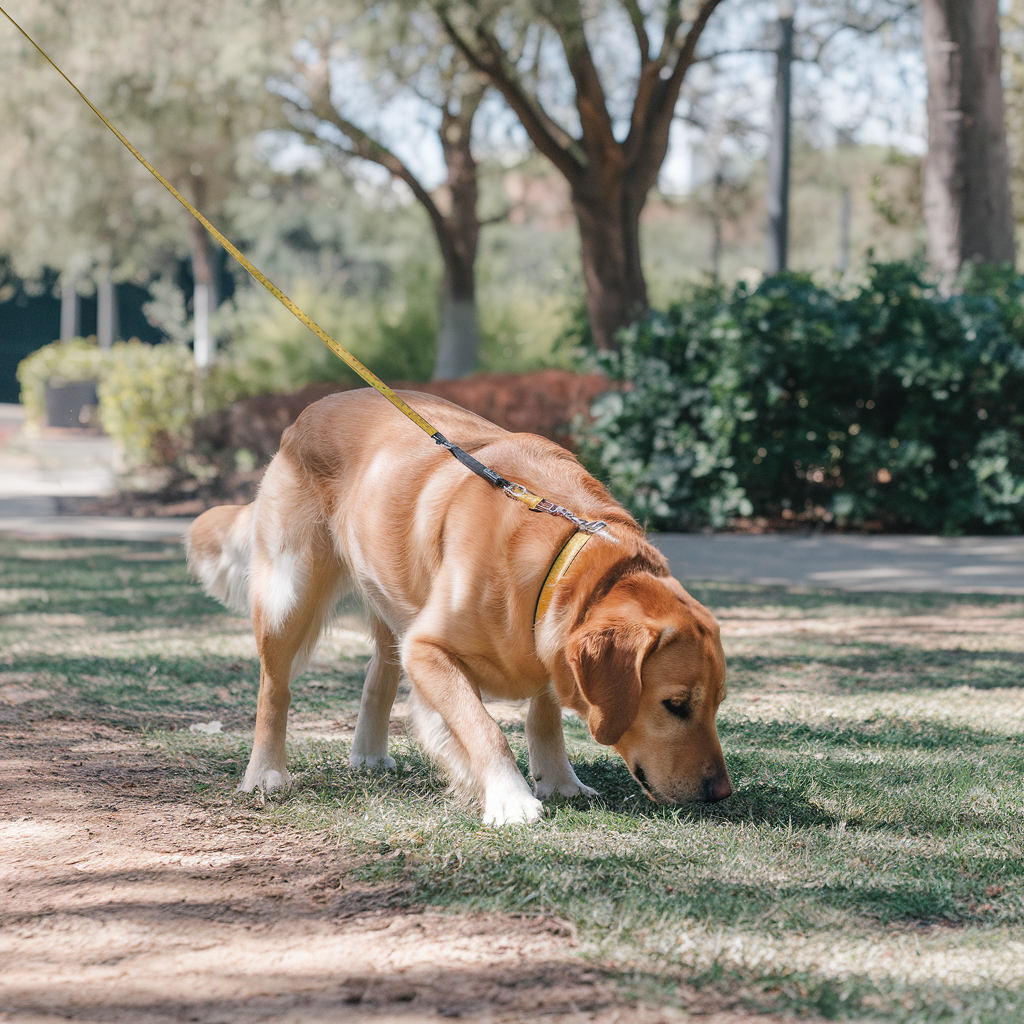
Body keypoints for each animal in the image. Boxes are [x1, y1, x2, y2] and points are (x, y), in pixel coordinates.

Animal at [184, 385, 729, 823]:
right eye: (675, 705)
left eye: (718, 703)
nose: (721, 792)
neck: (565, 554)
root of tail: (309, 410)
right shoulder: (428, 648)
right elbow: (485, 728)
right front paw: (510, 799)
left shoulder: (547, 640)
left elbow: (543, 716)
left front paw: (559, 781)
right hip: (288, 597)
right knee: (273, 691)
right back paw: (265, 774)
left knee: (378, 676)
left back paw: (368, 754)